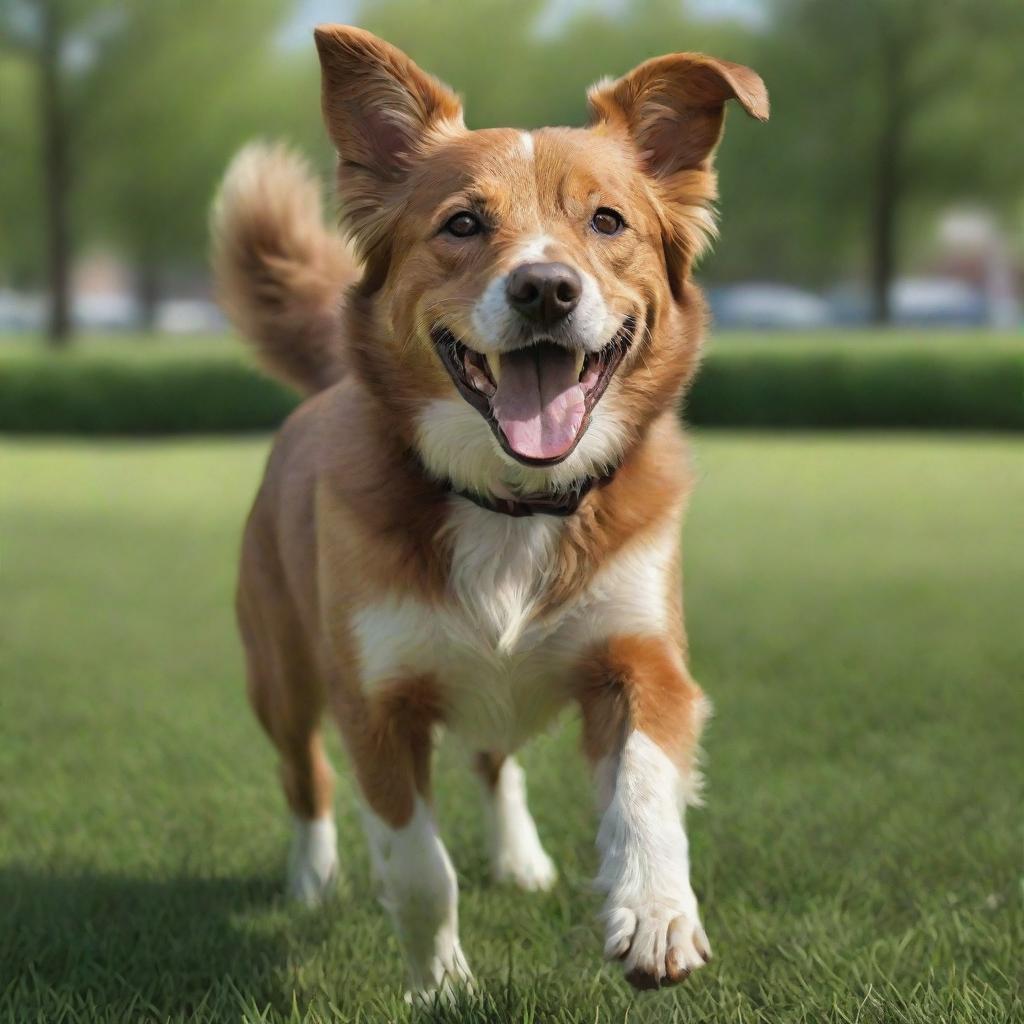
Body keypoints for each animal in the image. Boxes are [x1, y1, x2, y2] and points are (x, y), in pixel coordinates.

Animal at [209, 25, 770, 999]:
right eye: (463, 223)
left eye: (607, 221)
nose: (545, 287)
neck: (511, 504)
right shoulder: (376, 703)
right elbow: (417, 867)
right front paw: (440, 985)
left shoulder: (647, 659)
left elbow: (644, 781)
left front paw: (654, 910)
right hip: (279, 667)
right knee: (303, 772)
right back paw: (312, 874)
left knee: (493, 754)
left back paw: (519, 855)